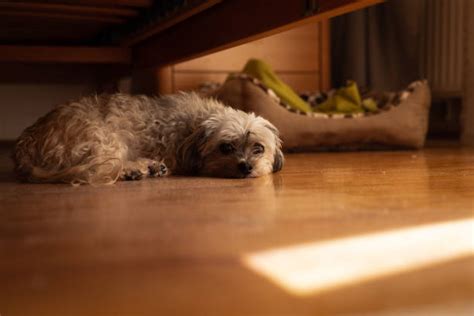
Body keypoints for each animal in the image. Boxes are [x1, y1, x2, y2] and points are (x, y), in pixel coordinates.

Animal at [12, 91, 284, 185]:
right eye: (225, 147)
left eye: (258, 148)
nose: (246, 167)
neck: (194, 125)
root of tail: (25, 143)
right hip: (106, 137)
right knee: (99, 169)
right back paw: (137, 169)